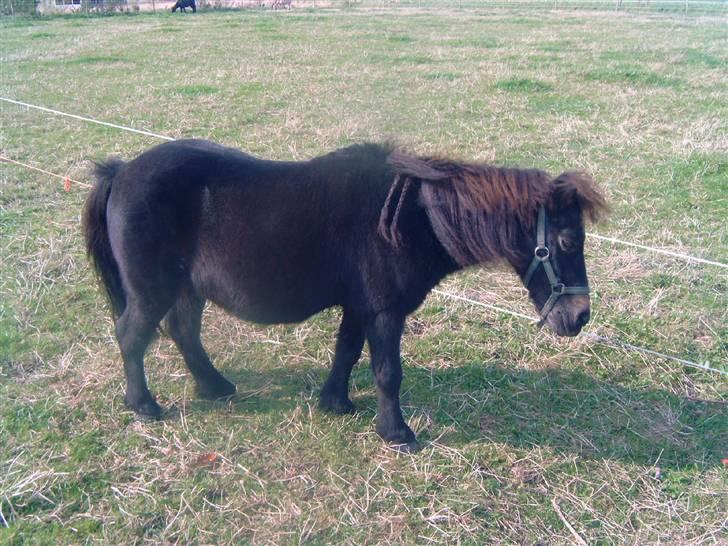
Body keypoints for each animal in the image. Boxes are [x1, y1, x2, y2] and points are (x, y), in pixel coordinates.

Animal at [84, 138, 608, 448]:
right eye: (567, 240)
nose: (579, 316)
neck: (407, 217)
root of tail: (121, 171)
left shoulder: (360, 308)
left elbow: (347, 353)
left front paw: (335, 402)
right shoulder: (384, 312)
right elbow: (387, 372)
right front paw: (396, 432)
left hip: (185, 289)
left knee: (183, 332)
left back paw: (215, 387)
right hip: (152, 289)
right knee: (132, 336)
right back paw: (145, 406)